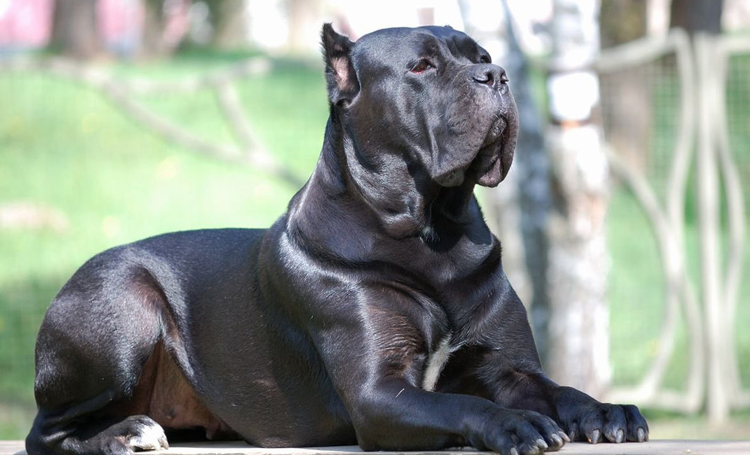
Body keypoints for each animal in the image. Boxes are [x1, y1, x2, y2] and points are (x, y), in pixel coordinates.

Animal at [26, 25, 648, 455]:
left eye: (483, 57)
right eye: (422, 66)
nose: (496, 77)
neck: (433, 229)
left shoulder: (506, 367)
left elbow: (557, 390)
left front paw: (605, 410)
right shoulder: (379, 393)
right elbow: (459, 402)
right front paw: (515, 423)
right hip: (123, 310)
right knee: (45, 431)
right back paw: (125, 433)